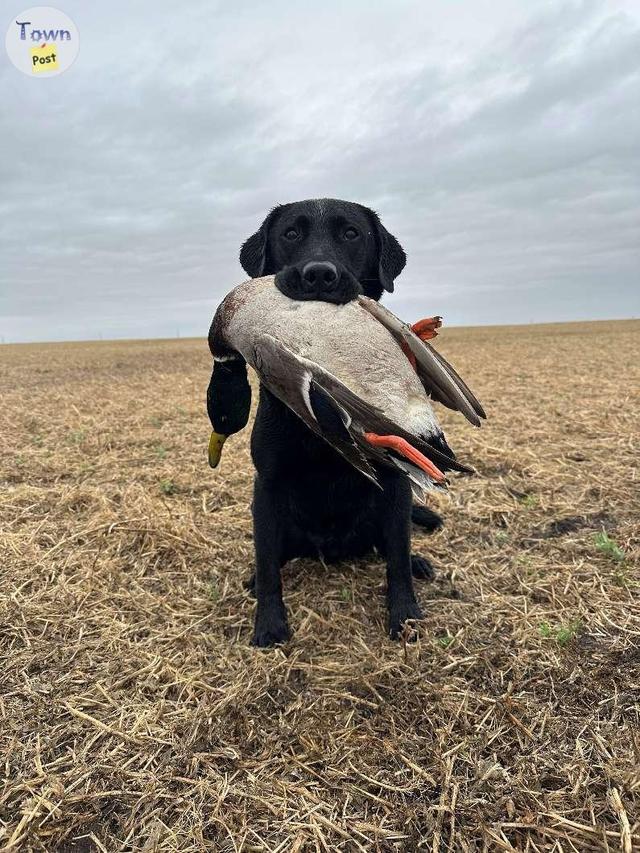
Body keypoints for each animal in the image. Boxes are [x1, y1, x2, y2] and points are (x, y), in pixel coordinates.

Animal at [209, 196, 444, 644]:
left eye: (351, 233)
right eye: (290, 233)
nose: (318, 274)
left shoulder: (395, 486)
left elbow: (398, 557)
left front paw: (405, 615)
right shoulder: (267, 485)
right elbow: (267, 563)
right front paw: (269, 624)